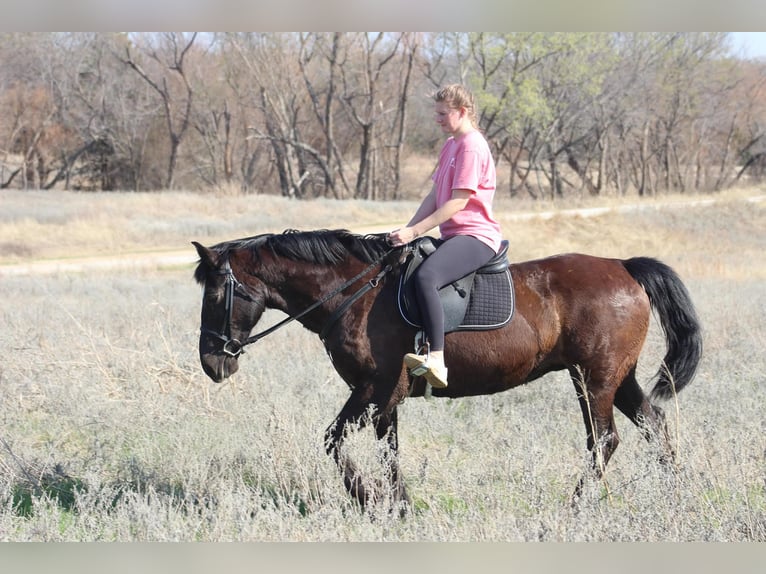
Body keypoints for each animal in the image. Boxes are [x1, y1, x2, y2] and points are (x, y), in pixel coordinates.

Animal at [192, 228, 702, 511]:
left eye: (216, 294)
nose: (212, 363)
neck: (353, 292)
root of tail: (624, 266)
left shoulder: (374, 388)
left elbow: (333, 441)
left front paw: (365, 500)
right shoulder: (386, 394)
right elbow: (389, 450)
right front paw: (398, 506)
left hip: (592, 378)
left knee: (604, 440)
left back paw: (574, 507)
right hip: (618, 377)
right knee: (654, 424)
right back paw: (675, 495)